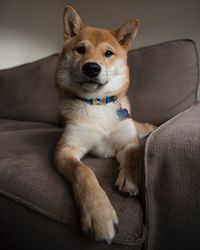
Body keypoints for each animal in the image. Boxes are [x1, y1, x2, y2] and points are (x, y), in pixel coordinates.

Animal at [55, 5, 156, 244]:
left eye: (108, 53)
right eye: (80, 49)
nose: (92, 68)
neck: (97, 103)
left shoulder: (129, 142)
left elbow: (133, 154)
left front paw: (129, 179)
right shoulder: (66, 149)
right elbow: (84, 173)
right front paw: (98, 213)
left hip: (140, 128)